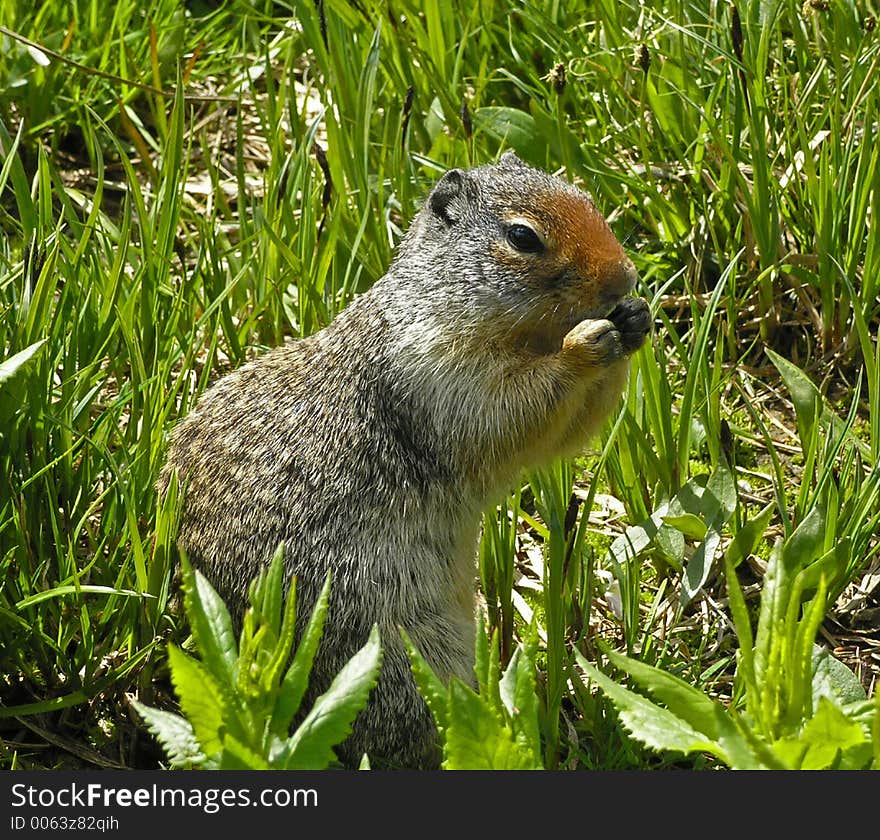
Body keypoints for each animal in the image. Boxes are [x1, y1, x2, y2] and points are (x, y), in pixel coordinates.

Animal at [160, 151, 652, 768]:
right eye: (523, 237)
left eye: (584, 197)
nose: (624, 277)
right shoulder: (437, 370)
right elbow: (512, 410)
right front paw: (584, 346)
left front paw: (634, 318)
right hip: (398, 661)